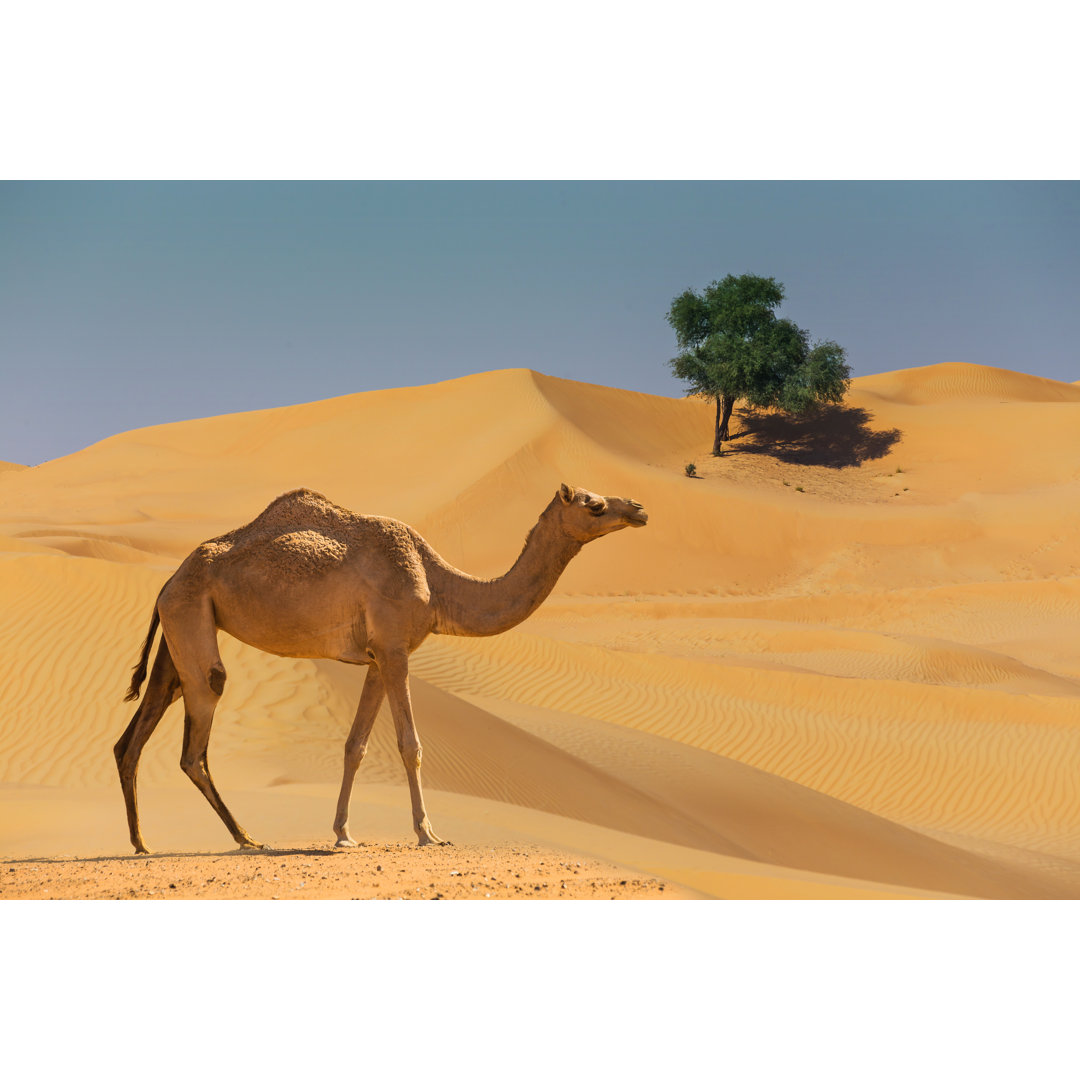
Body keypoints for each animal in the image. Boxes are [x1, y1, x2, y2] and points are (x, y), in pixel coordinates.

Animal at [114, 483, 648, 853]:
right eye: (594, 505)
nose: (639, 509)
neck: (437, 584)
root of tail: (168, 578)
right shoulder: (394, 648)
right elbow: (410, 744)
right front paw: (429, 833)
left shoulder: (376, 658)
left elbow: (355, 746)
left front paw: (343, 833)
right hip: (190, 616)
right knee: (196, 738)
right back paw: (246, 838)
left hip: (180, 627)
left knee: (135, 734)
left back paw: (142, 843)